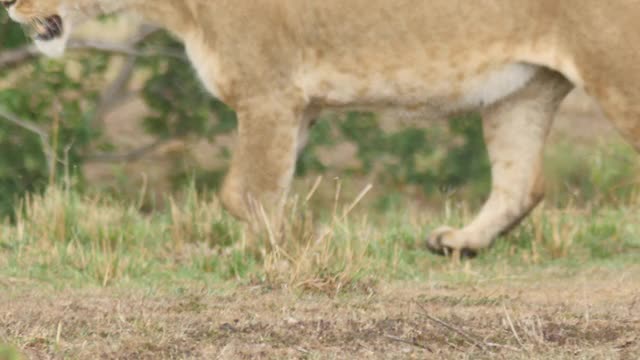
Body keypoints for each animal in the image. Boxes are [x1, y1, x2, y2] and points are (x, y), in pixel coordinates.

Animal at [5, 0, 640, 256]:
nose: (8, 2)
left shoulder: (268, 93)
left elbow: (243, 192)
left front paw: (267, 253)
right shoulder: (296, 106)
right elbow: (267, 186)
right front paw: (276, 244)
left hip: (617, 75)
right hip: (523, 92)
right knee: (521, 184)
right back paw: (461, 242)